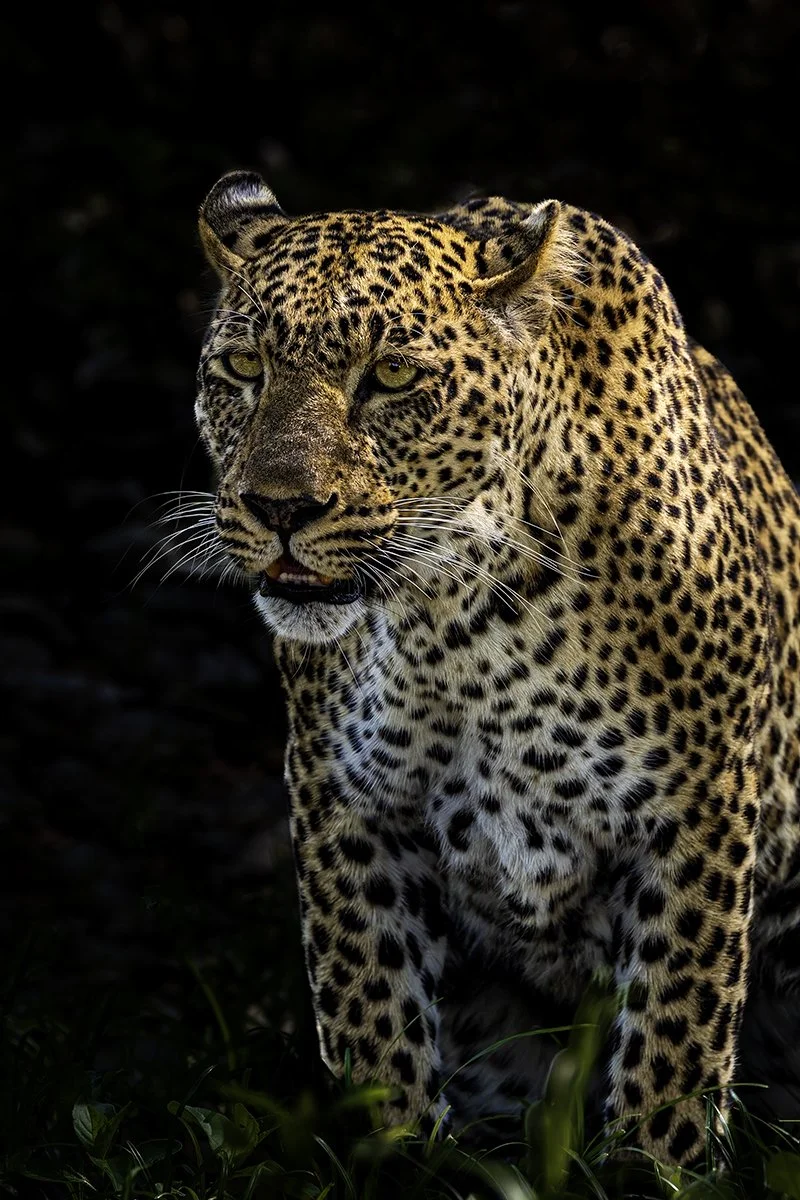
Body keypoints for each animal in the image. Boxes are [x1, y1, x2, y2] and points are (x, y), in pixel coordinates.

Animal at [192, 169, 800, 1167]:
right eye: (243, 369)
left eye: (391, 376)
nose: (280, 507)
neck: (459, 619)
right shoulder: (343, 798)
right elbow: (371, 1016)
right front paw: (392, 1155)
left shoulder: (702, 804)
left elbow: (674, 1034)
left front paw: (658, 1165)